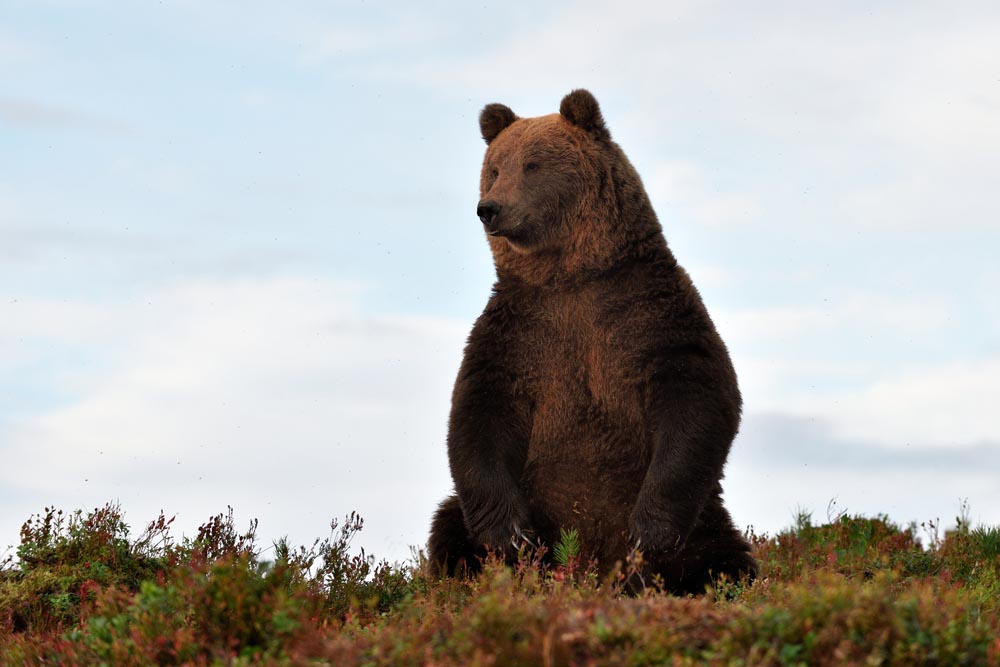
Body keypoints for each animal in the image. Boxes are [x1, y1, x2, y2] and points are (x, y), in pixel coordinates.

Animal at [424, 88, 756, 596]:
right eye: (495, 167)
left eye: (533, 164)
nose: (489, 208)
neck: (571, 278)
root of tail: (589, 571)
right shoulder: (518, 333)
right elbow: (477, 416)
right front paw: (513, 535)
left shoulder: (649, 314)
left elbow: (698, 396)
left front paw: (648, 531)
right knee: (447, 524)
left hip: (706, 520)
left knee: (723, 552)